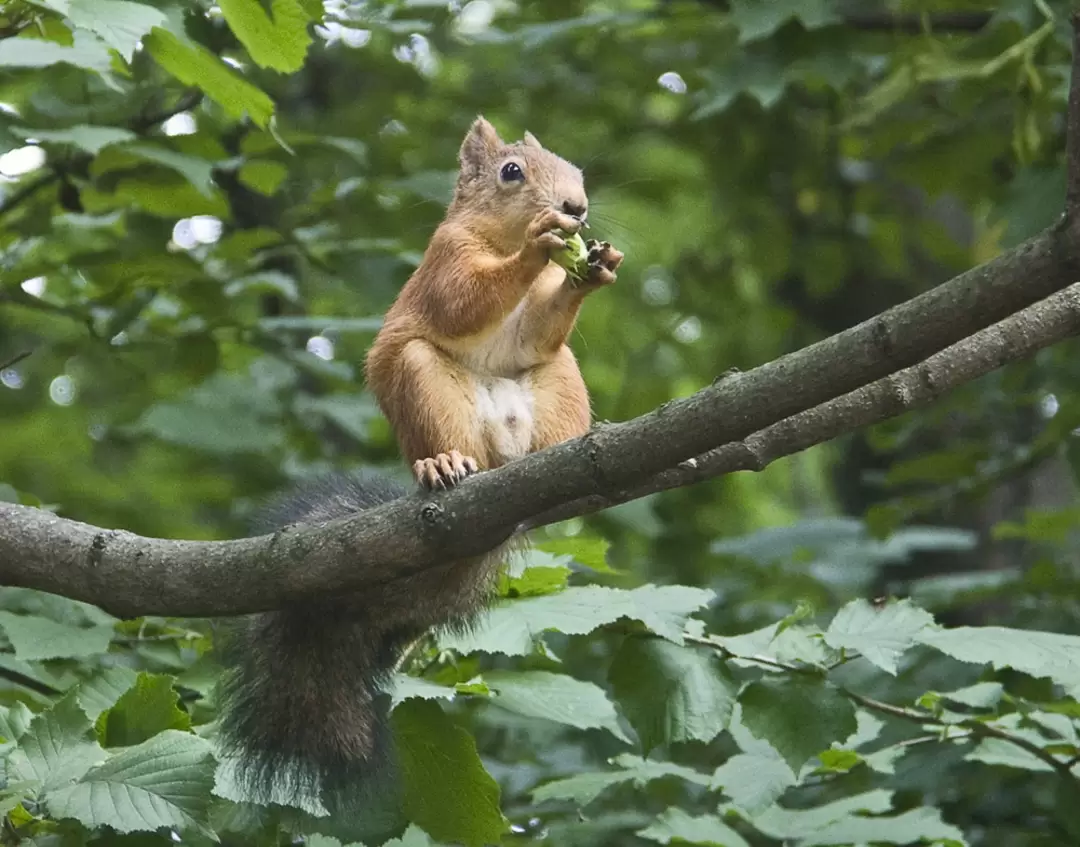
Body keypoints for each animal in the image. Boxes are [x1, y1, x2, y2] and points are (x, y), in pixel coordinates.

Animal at [216, 117, 624, 811]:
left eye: (576, 170)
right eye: (512, 171)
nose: (575, 208)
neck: (498, 237)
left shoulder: (540, 322)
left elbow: (538, 333)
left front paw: (593, 270)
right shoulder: (444, 260)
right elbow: (465, 301)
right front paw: (541, 246)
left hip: (560, 384)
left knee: (552, 370)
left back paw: (563, 455)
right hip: (424, 383)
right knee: (451, 430)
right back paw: (445, 466)